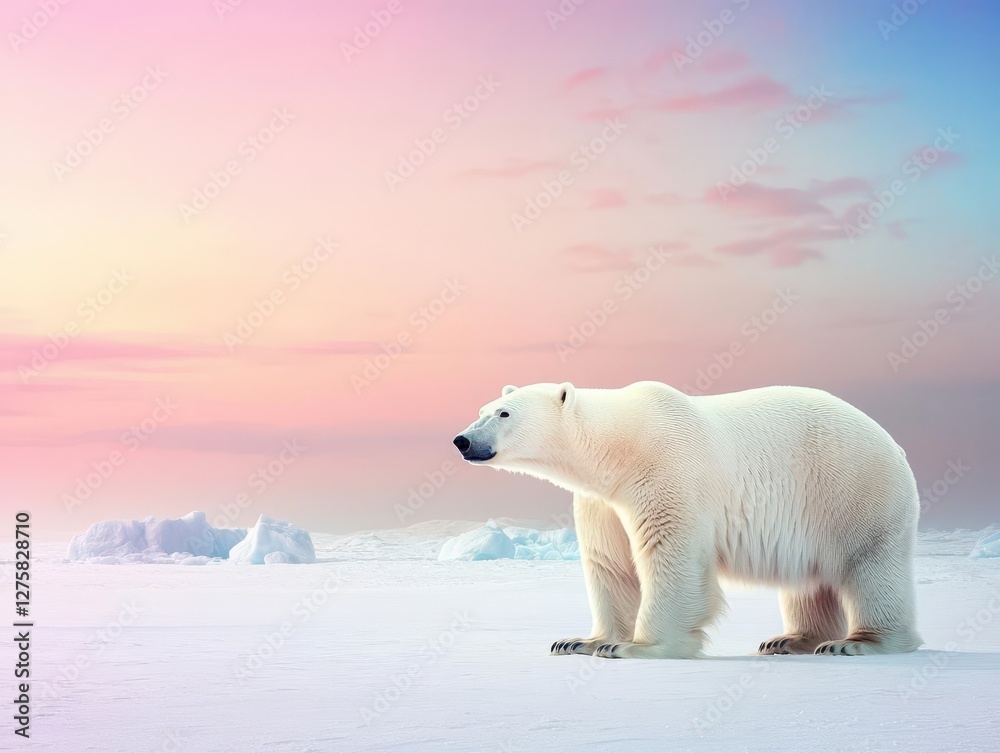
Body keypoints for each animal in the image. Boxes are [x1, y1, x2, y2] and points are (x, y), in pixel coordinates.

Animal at [453, 381, 922, 659]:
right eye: (482, 408)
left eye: (504, 413)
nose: (462, 440)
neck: (621, 446)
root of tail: (896, 445)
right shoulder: (602, 500)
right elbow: (610, 563)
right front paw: (581, 641)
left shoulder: (667, 471)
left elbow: (670, 554)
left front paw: (637, 648)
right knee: (808, 582)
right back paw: (789, 640)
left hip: (848, 488)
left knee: (869, 564)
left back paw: (856, 643)